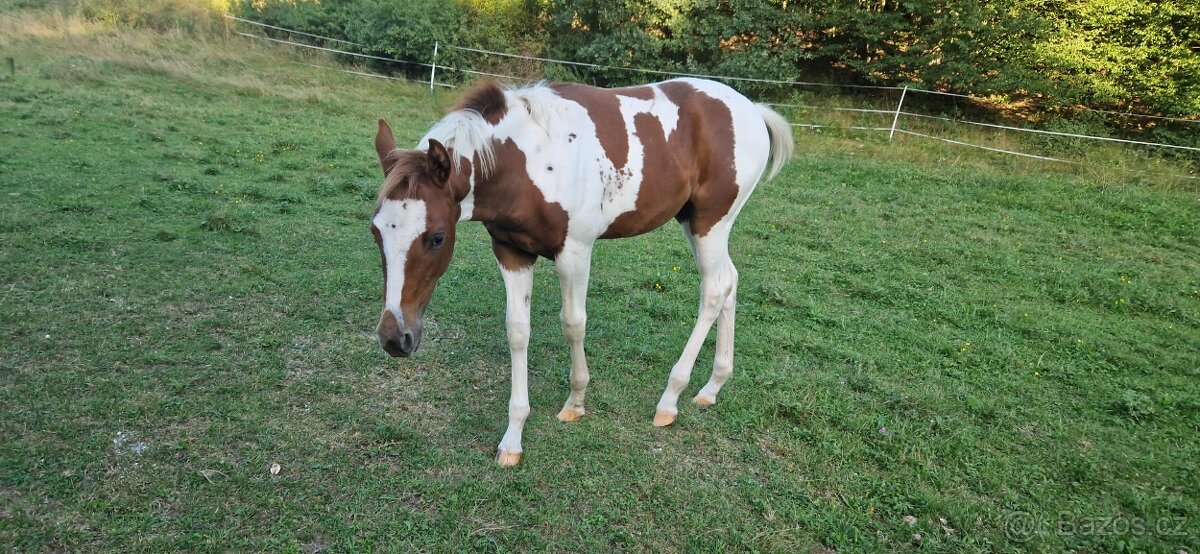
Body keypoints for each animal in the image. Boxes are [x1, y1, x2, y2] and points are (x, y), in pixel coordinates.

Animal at [371, 78, 793, 466]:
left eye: (437, 237)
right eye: (375, 231)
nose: (395, 338)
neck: (525, 160)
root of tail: (753, 110)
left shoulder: (574, 252)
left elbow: (573, 323)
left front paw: (575, 402)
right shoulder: (512, 252)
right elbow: (517, 331)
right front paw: (513, 438)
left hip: (710, 223)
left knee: (714, 291)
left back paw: (671, 399)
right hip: (697, 223)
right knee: (729, 281)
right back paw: (712, 386)